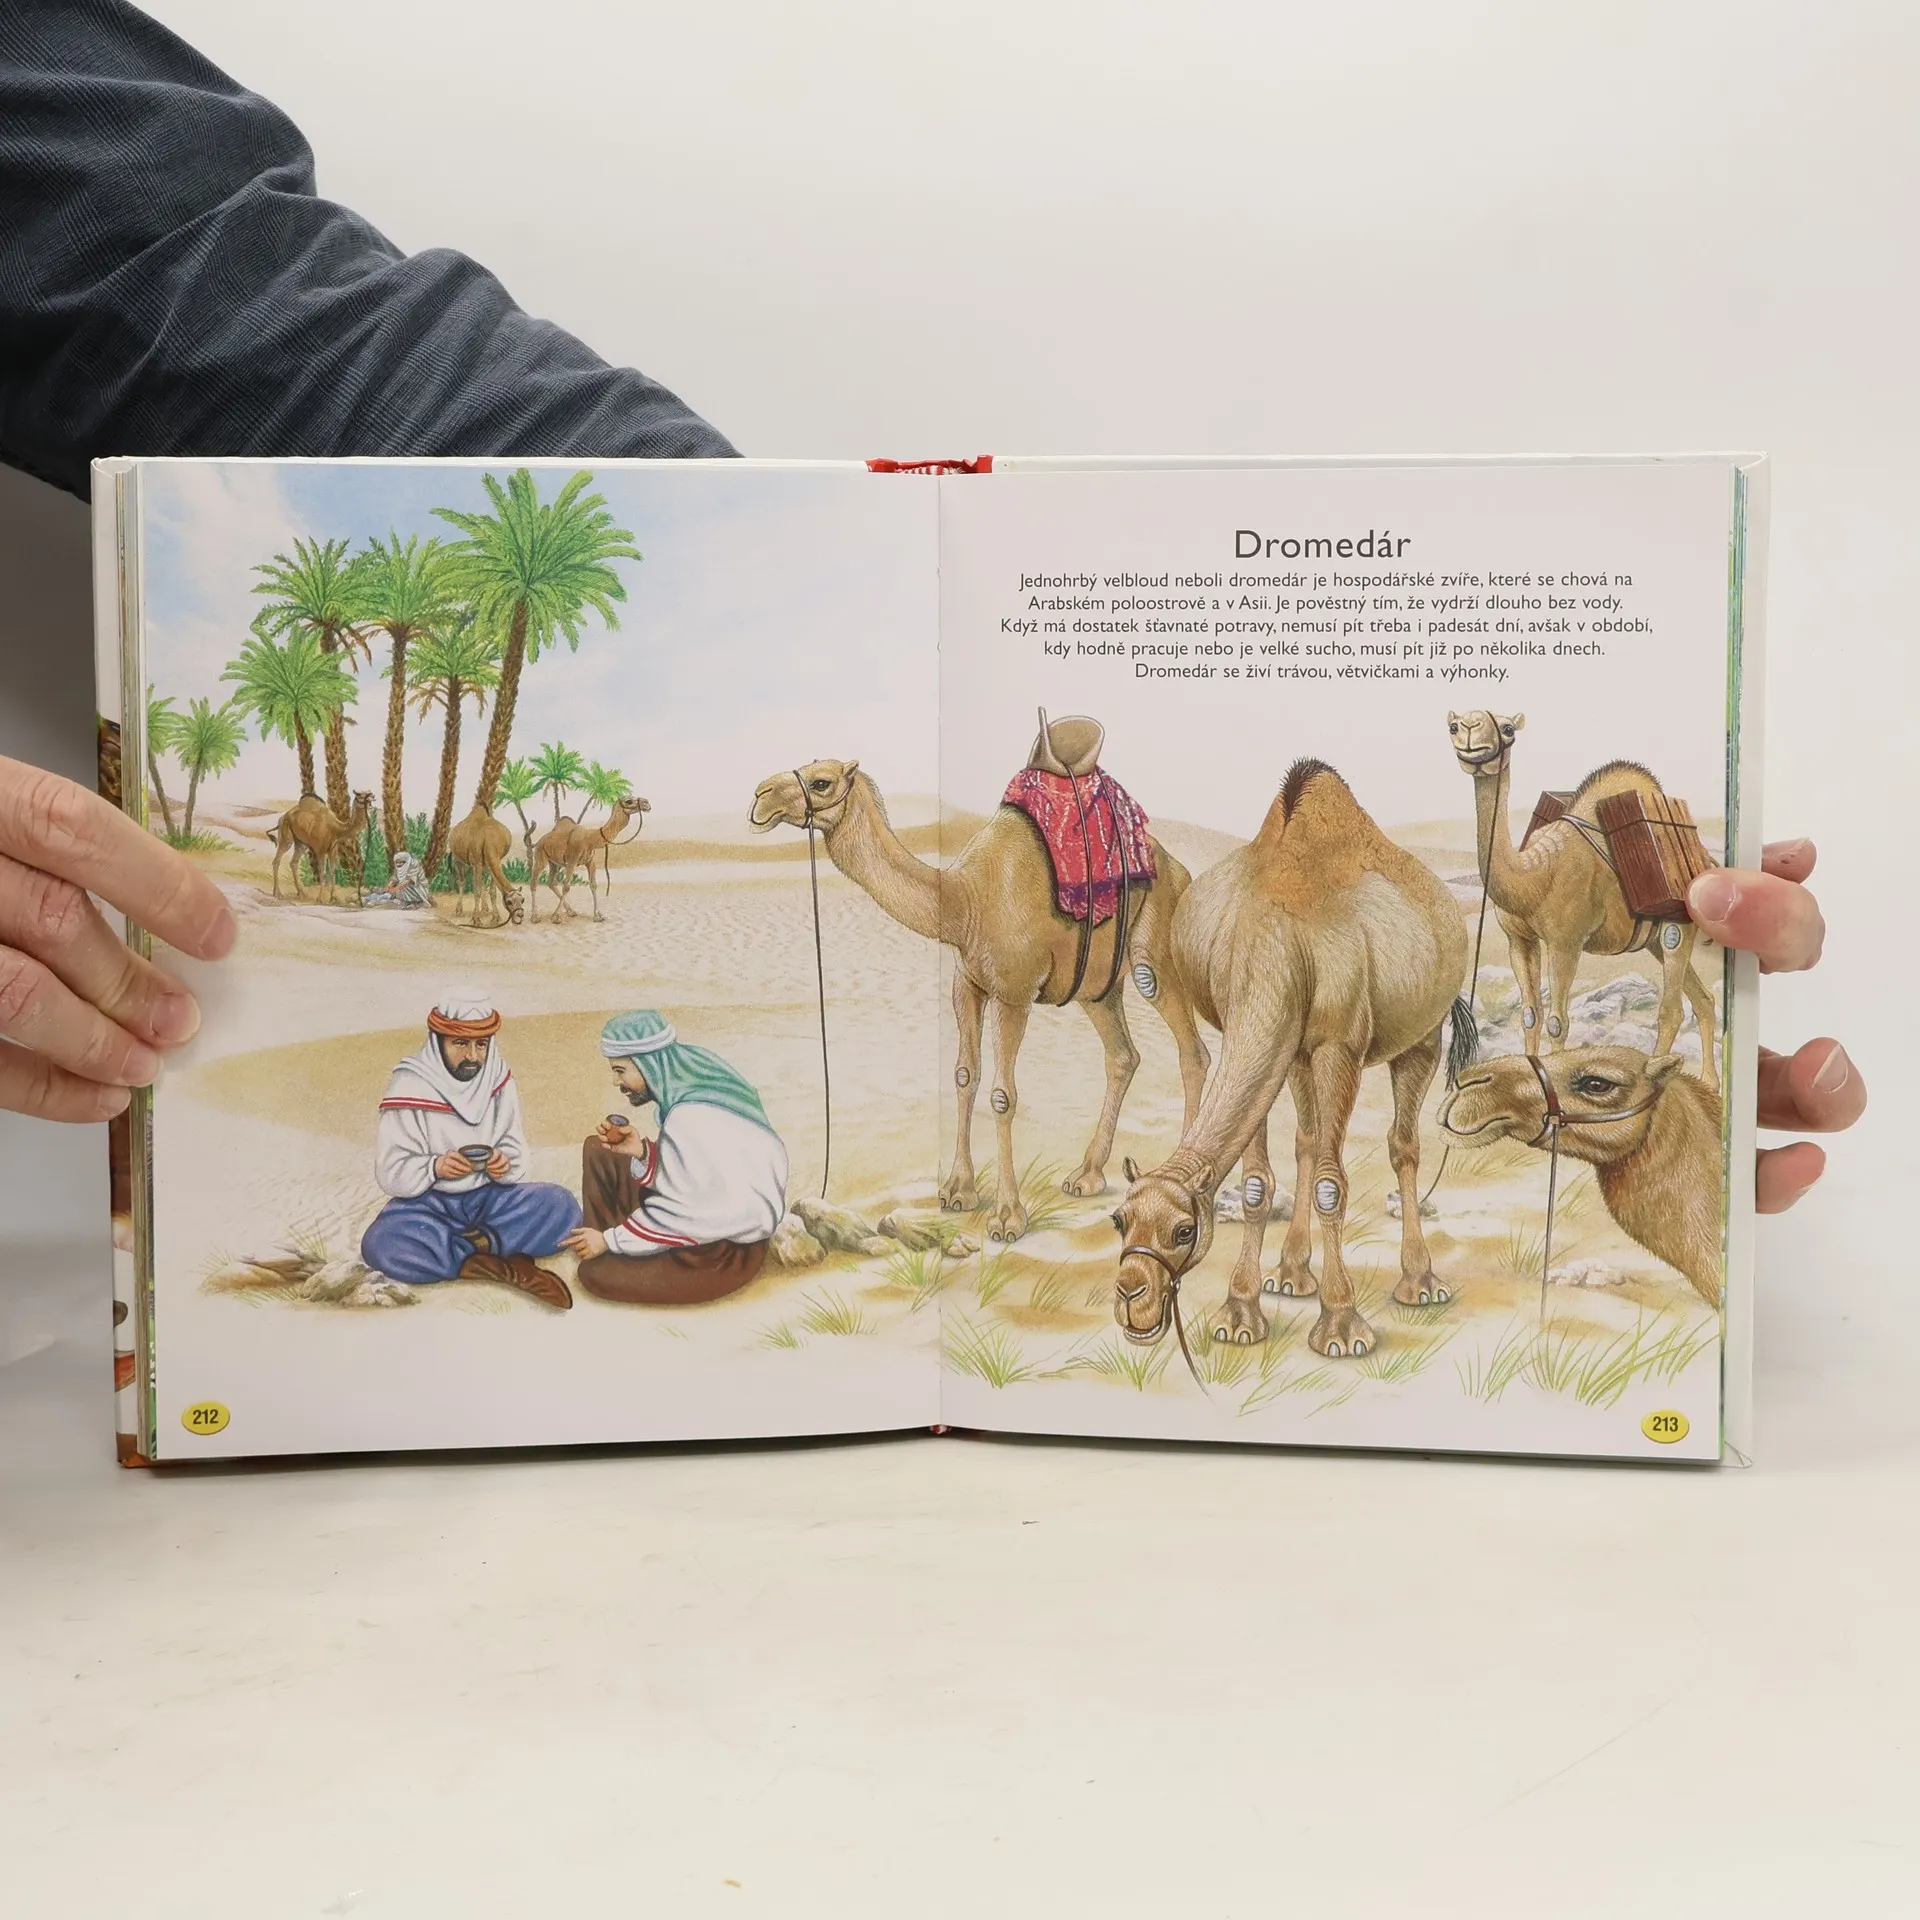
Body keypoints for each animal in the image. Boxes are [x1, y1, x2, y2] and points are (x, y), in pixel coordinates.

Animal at [446, 799, 525, 929]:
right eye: (509, 902)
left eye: (522, 900)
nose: (520, 915)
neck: (489, 840)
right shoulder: (477, 862)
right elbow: (476, 890)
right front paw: (476, 920)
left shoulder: (495, 860)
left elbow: (493, 891)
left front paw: (495, 918)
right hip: (459, 860)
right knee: (462, 882)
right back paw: (459, 910)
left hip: (483, 865)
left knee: (482, 882)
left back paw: (484, 909)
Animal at [748, 756, 1211, 1238]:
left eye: (821, 782)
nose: (760, 797)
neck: (966, 900)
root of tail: (1181, 872)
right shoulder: (967, 984)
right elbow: (964, 1077)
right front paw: (957, 1192)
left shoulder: (1014, 992)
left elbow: (1002, 1096)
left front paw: (1007, 1217)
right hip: (1097, 988)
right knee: (1123, 1056)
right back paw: (1086, 1175)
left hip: (1156, 956)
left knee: (1191, 1050)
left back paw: (1180, 1178)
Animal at [1111, 760, 1474, 1359]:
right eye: (1120, 1220)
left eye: (1184, 1230)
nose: (1131, 1298)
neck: (1277, 940)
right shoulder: (1251, 1026)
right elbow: (1258, 1182)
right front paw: (1239, 1313)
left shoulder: (1338, 1046)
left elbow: (1333, 1184)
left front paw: (1342, 1325)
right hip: (1295, 1055)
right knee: (1307, 1140)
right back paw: (1290, 1273)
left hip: (1422, 1034)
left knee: (1403, 1145)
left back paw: (1419, 1282)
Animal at [1447, 711, 1720, 1093]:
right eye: (1453, 727)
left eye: (1508, 728)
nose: (1471, 730)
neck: (1534, 876)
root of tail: (1706, 861)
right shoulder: (1519, 939)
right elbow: (1530, 1016)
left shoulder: (1566, 941)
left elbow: (1558, 1022)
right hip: (1653, 939)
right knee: (1703, 1000)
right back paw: (1711, 1084)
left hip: (1676, 923)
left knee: (1671, 1010)